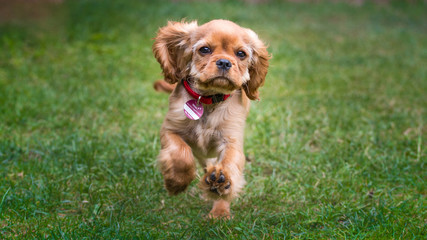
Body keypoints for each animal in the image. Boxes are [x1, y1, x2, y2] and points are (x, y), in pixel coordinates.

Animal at [152, 19, 270, 218]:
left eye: (241, 54)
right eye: (204, 50)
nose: (224, 62)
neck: (207, 100)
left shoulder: (231, 140)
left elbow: (230, 162)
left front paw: (221, 182)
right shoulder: (170, 129)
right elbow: (181, 153)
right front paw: (176, 183)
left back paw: (219, 206)